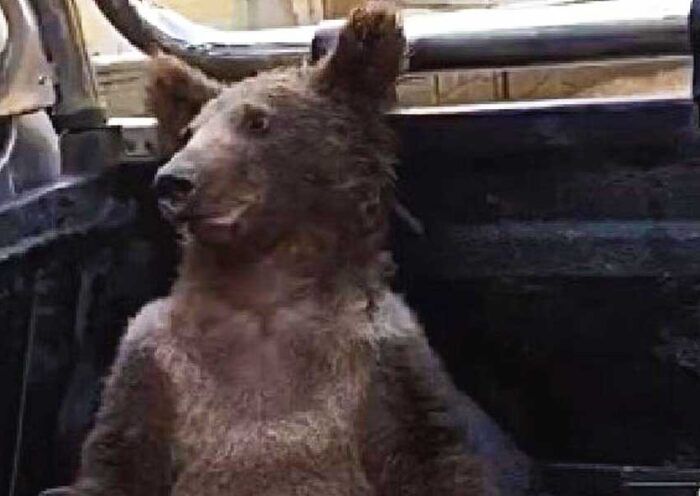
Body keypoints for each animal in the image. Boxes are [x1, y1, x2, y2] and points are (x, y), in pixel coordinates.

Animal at [48, 3, 531, 495]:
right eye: (189, 131)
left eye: (257, 121)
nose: (173, 181)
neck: (264, 290)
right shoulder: (154, 362)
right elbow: (114, 460)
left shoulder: (383, 363)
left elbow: (434, 455)